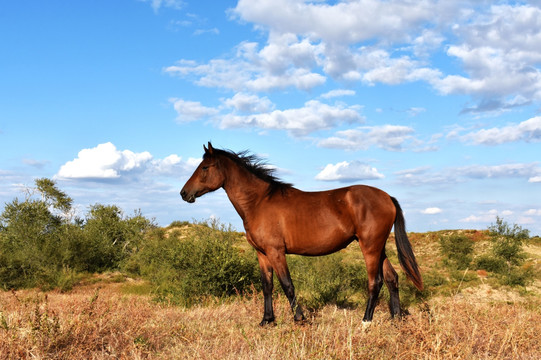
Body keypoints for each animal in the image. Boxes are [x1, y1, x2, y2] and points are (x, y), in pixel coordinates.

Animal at [181, 143, 422, 326]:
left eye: (205, 167)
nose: (184, 193)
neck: (258, 202)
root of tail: (387, 197)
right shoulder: (262, 254)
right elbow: (267, 286)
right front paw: (267, 320)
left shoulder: (276, 252)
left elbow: (287, 284)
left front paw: (300, 318)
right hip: (379, 248)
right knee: (392, 278)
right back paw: (396, 319)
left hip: (369, 248)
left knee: (375, 281)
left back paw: (366, 321)